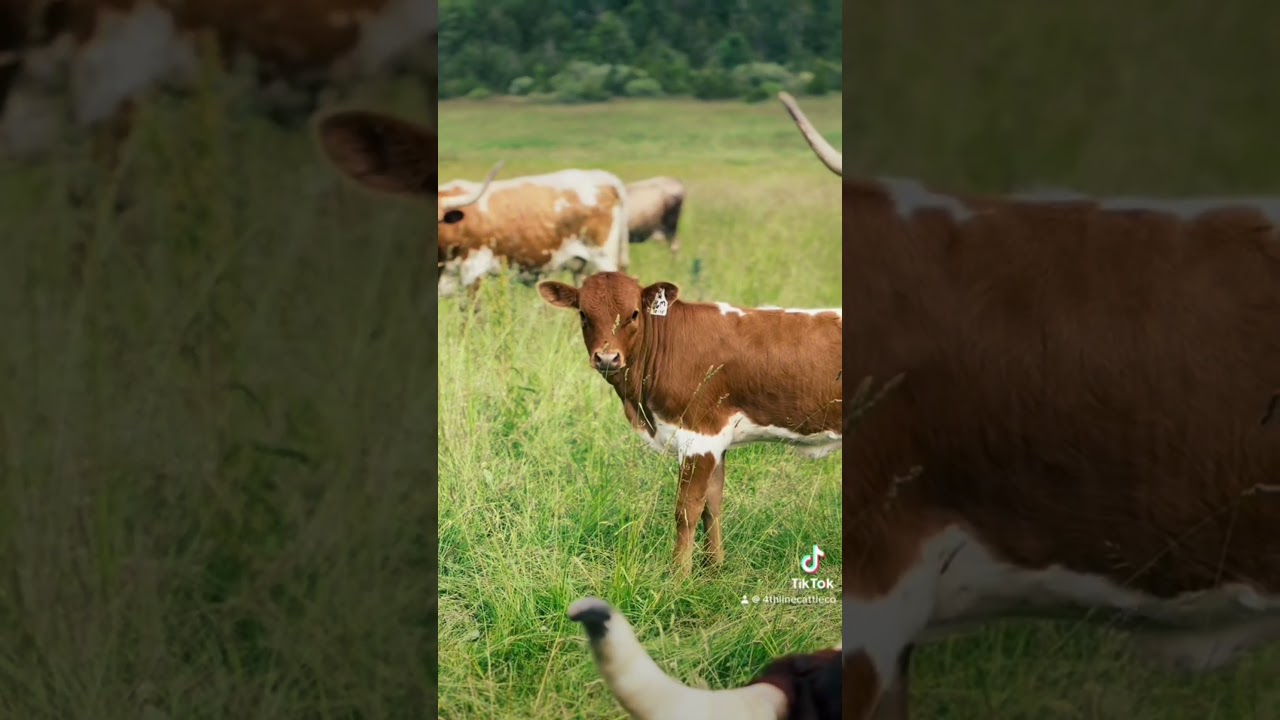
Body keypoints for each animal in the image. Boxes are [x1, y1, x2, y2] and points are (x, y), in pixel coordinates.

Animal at [537, 271, 841, 574]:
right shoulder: (716, 440)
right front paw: (714, 568)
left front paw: (679, 574)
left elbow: (687, 509)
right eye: (583, 314)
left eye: (634, 313)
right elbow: (712, 504)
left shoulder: (700, 435)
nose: (607, 358)